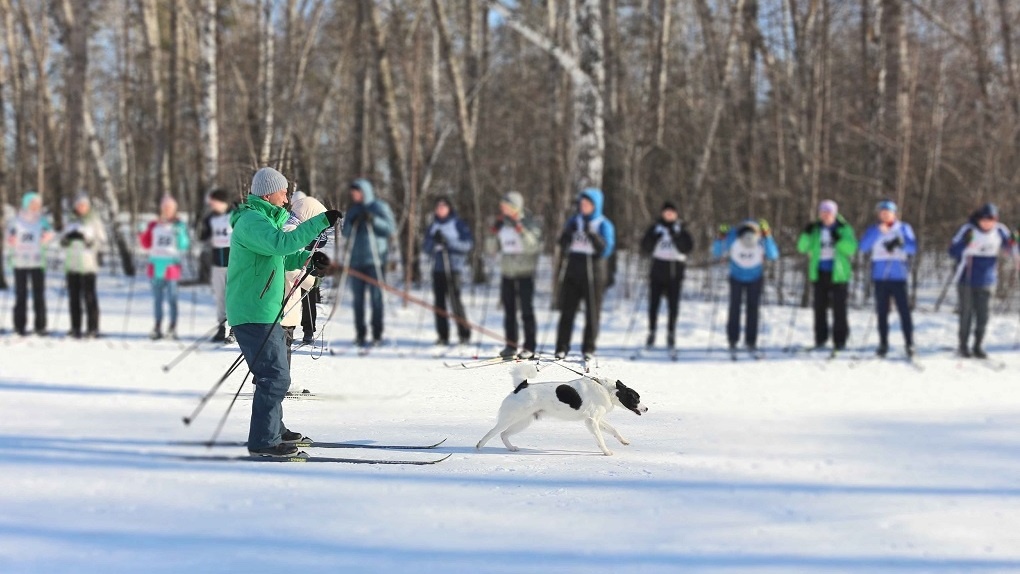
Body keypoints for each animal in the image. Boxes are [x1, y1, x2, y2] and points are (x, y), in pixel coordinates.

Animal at [475, 367, 644, 456]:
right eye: (636, 398)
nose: (646, 408)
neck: (607, 390)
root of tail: (521, 386)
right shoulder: (592, 422)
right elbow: (601, 439)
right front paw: (606, 452)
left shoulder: (596, 420)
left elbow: (614, 430)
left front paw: (623, 441)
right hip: (510, 419)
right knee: (492, 432)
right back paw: (479, 446)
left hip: (523, 422)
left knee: (504, 434)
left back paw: (511, 448)